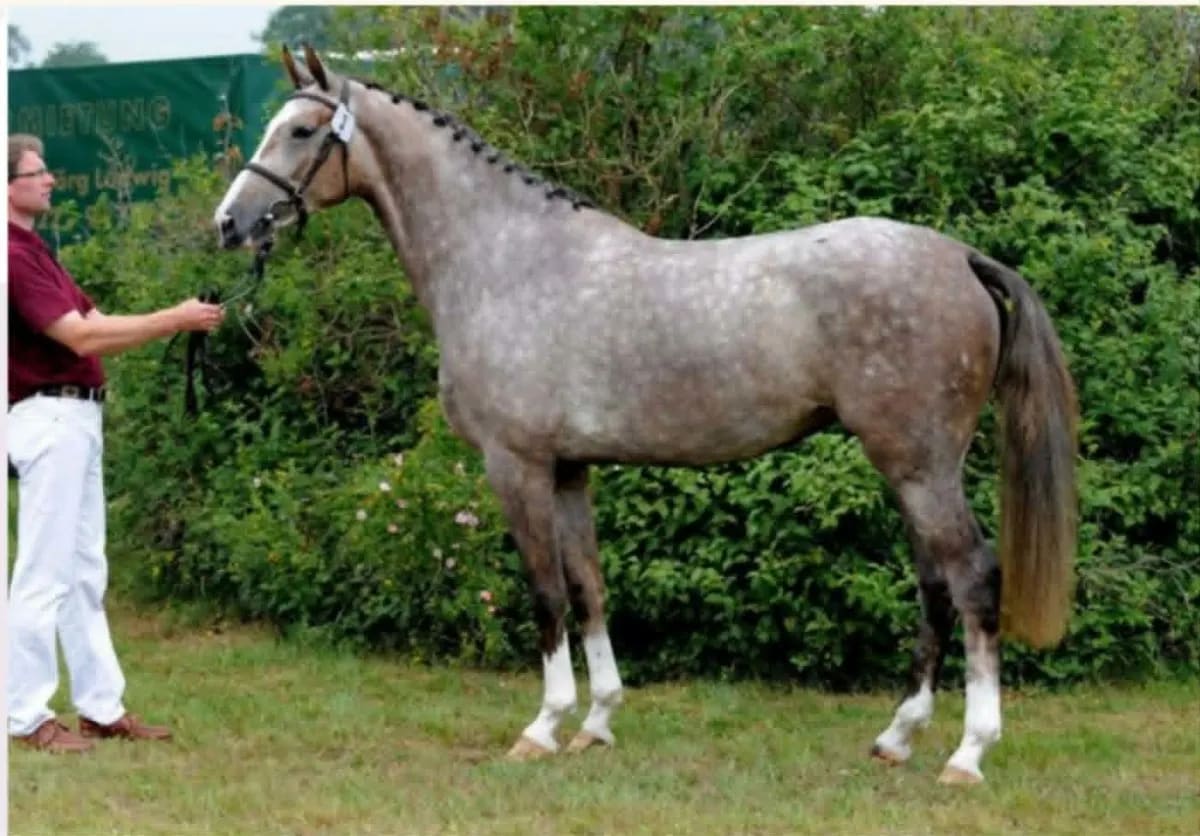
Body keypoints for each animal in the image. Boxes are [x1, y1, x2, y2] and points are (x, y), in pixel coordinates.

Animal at [214, 46, 1077, 785]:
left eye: (300, 131)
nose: (230, 223)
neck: (507, 261)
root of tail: (961, 257)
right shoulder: (570, 470)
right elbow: (590, 588)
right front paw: (597, 722)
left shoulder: (516, 465)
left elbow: (546, 595)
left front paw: (542, 727)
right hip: (913, 469)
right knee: (934, 585)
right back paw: (897, 736)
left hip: (918, 465)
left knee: (972, 579)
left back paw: (968, 752)